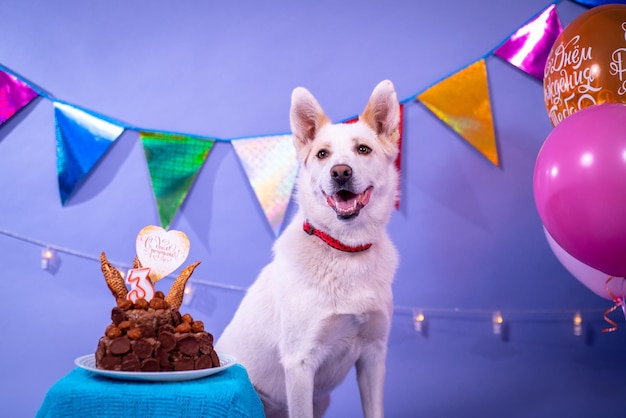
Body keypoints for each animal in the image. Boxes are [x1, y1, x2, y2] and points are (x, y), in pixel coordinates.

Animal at [214, 80, 400, 416]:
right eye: (323, 154)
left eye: (363, 149)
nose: (340, 172)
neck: (344, 249)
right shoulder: (300, 364)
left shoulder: (374, 356)